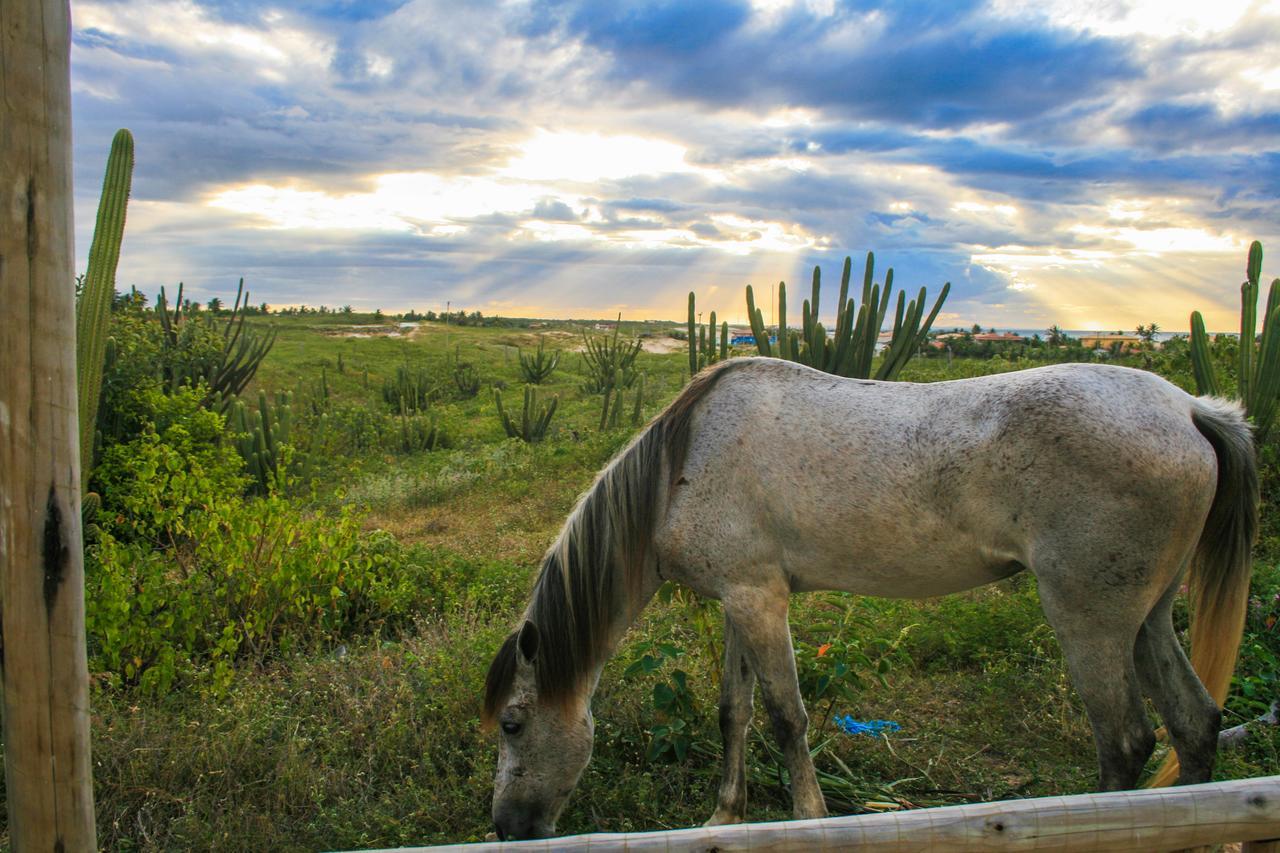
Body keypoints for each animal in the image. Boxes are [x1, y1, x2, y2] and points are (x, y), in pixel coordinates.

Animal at [483, 356, 1254, 835]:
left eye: (512, 724)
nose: (508, 827)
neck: (684, 462)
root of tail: (1190, 408)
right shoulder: (740, 598)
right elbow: (734, 712)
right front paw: (725, 817)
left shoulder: (761, 602)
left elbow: (786, 717)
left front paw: (810, 818)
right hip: (1147, 618)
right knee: (1193, 723)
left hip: (1088, 620)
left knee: (1125, 741)